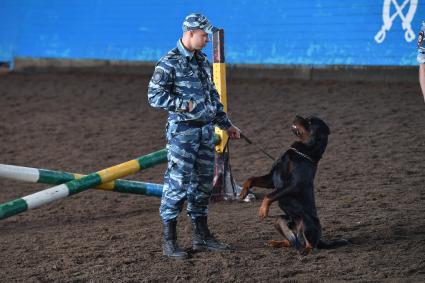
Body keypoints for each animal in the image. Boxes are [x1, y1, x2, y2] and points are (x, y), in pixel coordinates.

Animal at [238, 115, 348, 255]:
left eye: (310, 122)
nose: (297, 116)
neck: (302, 152)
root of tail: (321, 240)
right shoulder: (271, 180)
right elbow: (251, 179)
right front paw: (243, 192)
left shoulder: (293, 184)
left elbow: (269, 196)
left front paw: (263, 210)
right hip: (279, 220)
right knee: (291, 242)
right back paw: (276, 242)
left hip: (306, 222)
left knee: (311, 246)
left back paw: (305, 250)